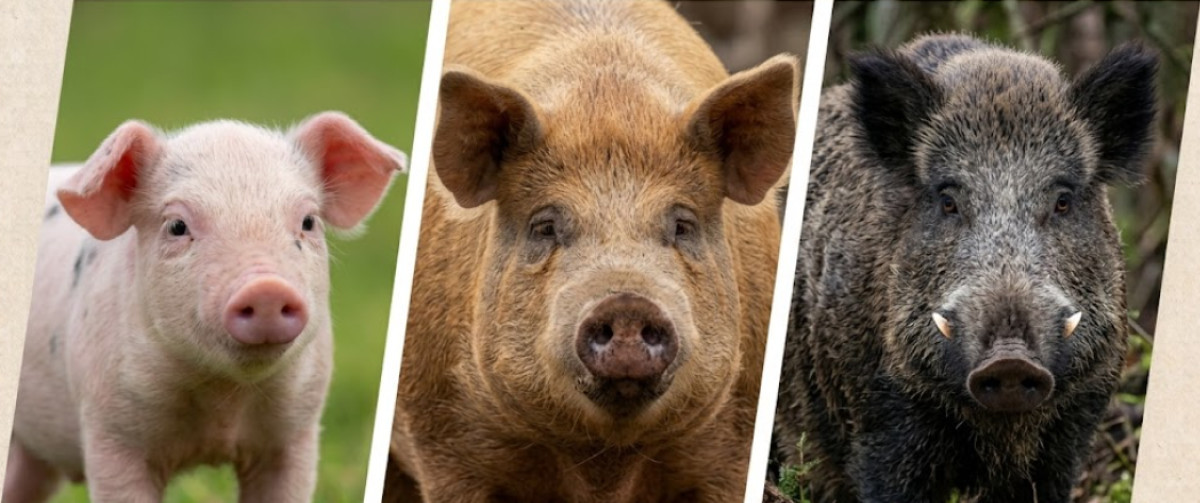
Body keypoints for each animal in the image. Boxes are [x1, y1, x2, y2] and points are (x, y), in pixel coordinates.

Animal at [4, 112, 405, 503]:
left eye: (308, 221)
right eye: (177, 226)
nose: (266, 289)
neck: (223, 401)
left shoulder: (295, 431)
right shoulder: (111, 429)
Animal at [386, 1, 798, 502]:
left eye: (683, 225)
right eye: (545, 226)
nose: (627, 302)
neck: (604, 463)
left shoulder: (735, 441)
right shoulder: (442, 438)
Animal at [772, 34, 1157, 502]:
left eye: (1063, 200)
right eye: (948, 200)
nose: (1010, 361)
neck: (999, 429)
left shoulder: (1076, 417)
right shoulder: (882, 414)